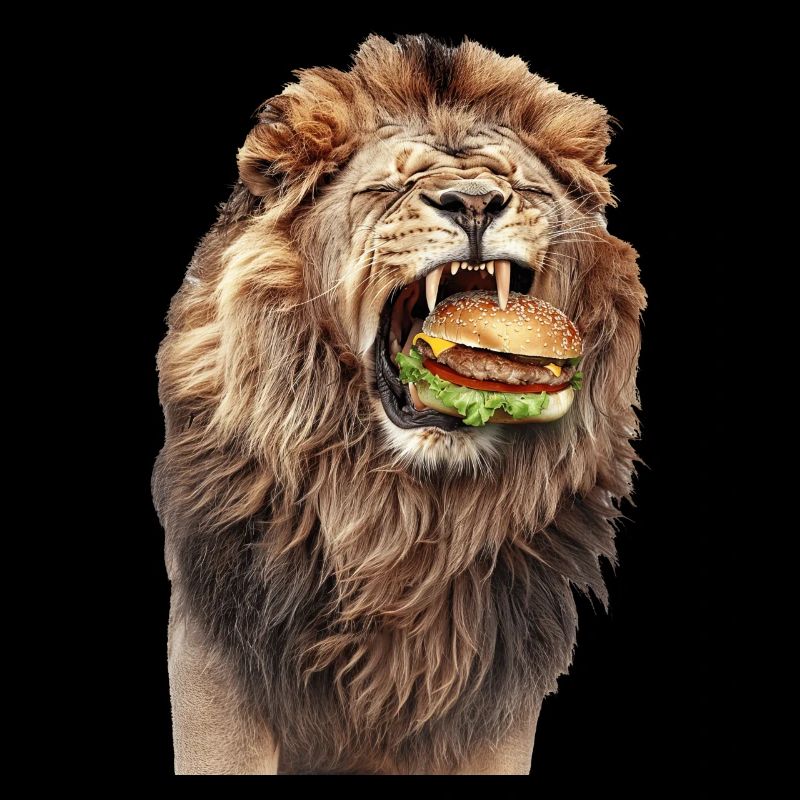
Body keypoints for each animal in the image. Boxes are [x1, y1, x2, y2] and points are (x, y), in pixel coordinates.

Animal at [152, 34, 644, 775]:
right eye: (387, 187)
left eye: (522, 187)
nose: (474, 203)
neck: (405, 520)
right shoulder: (218, 654)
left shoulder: (495, 692)